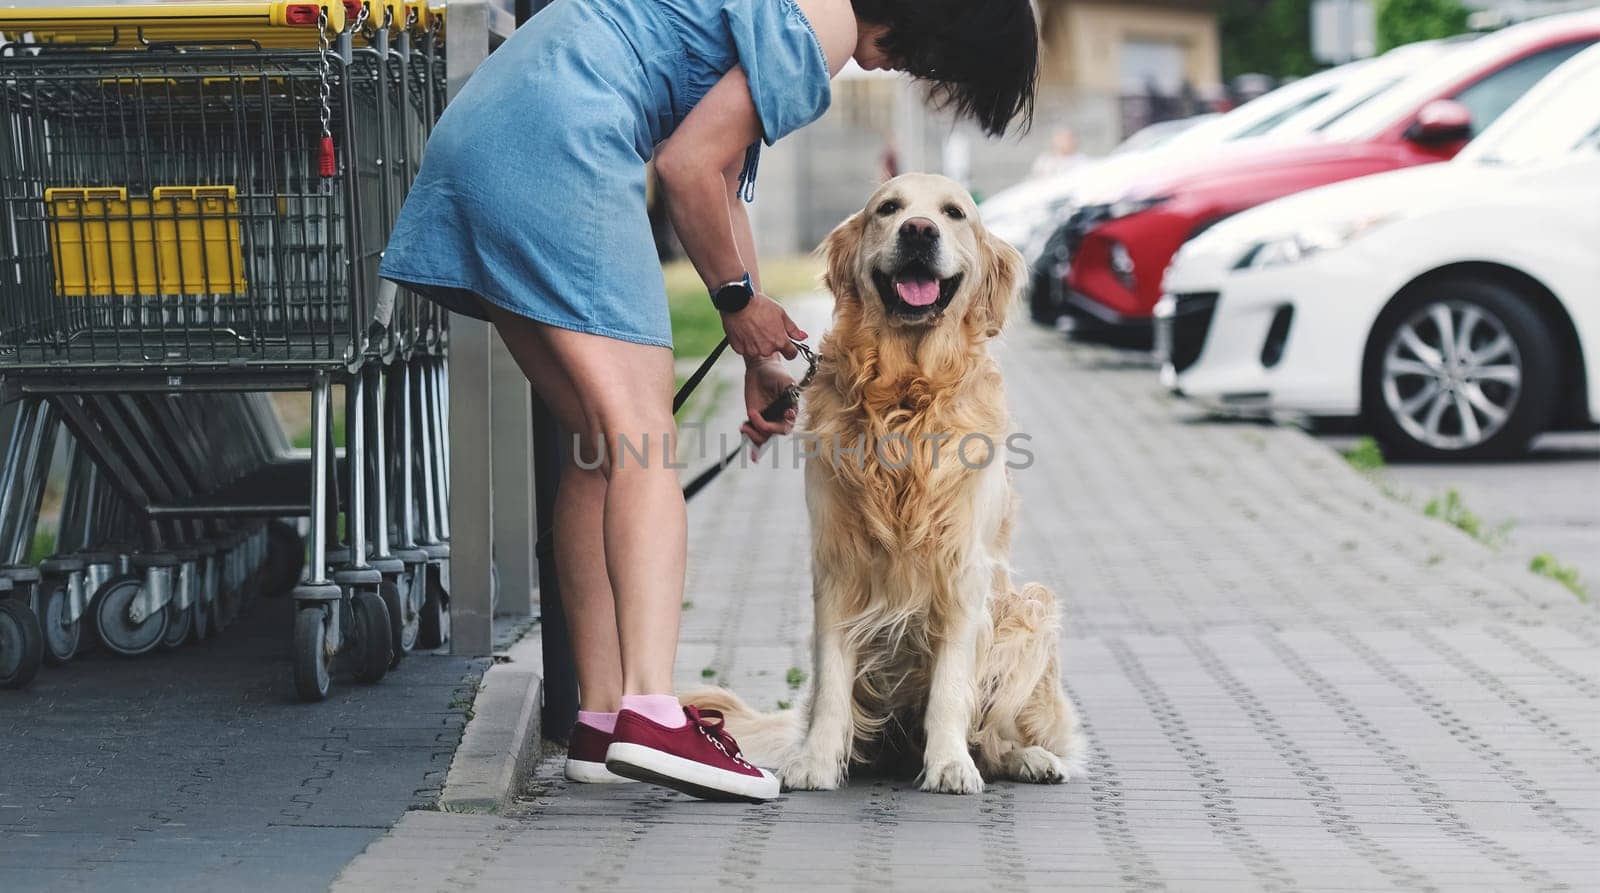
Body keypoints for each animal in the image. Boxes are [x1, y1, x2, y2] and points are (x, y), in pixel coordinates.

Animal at [691, 175, 1088, 796]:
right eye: (889, 209)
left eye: (953, 214)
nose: (919, 231)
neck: (905, 394)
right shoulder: (837, 564)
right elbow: (832, 680)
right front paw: (817, 761)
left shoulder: (962, 572)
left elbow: (951, 689)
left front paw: (949, 763)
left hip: (1030, 611)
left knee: (996, 734)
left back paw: (1028, 758)